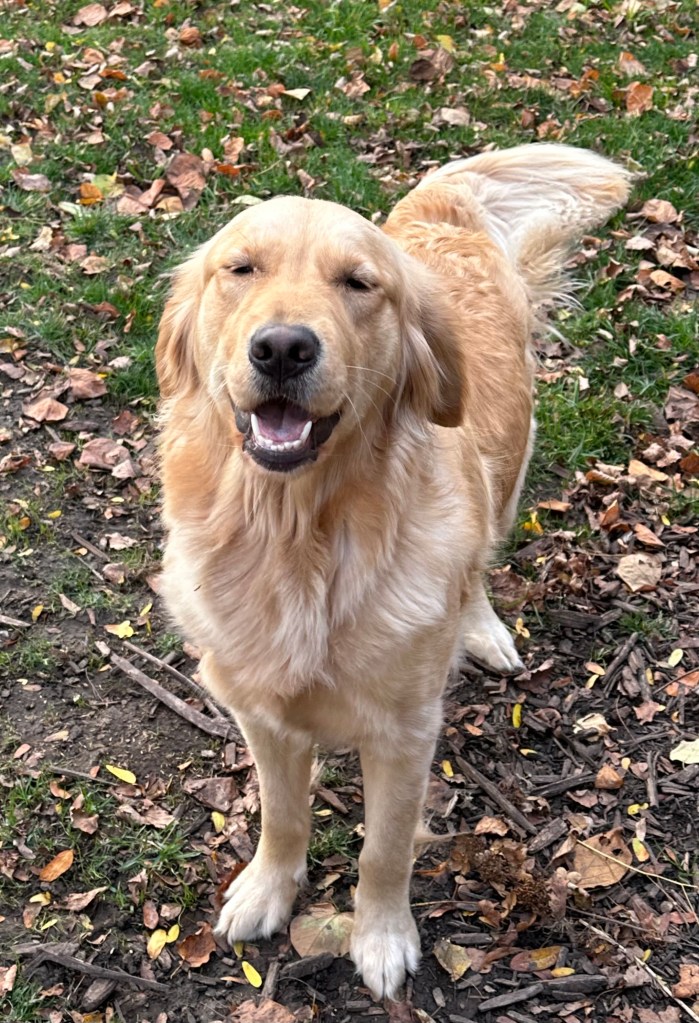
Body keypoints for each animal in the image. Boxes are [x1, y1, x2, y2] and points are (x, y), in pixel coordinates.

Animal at [156, 144, 631, 999]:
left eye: (357, 283)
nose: (282, 348)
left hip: (507, 469)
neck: (298, 540)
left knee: (477, 560)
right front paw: (266, 888)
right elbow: (283, 814)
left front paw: (380, 937)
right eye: (239, 268)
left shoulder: (405, 732)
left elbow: (384, 846)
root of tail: (440, 216)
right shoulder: (261, 713)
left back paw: (482, 629)